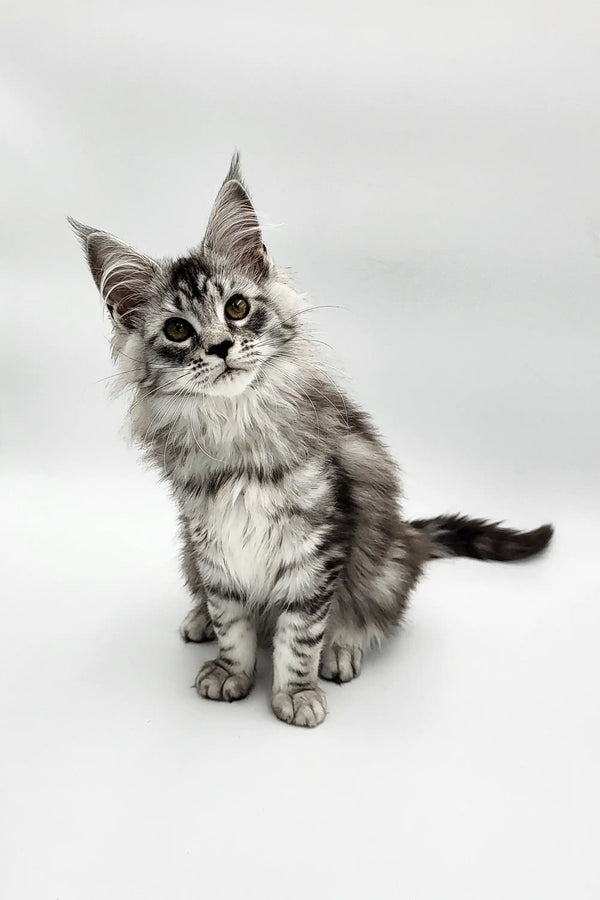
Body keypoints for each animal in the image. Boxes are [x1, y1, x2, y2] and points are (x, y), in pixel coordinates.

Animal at [70, 155, 552, 728]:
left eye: (236, 308)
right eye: (178, 330)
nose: (221, 346)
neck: (236, 425)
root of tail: (408, 537)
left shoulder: (317, 544)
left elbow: (300, 633)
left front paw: (297, 692)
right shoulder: (212, 540)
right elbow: (231, 615)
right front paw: (231, 670)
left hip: (385, 563)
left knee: (374, 614)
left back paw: (343, 649)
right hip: (189, 552)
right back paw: (198, 620)